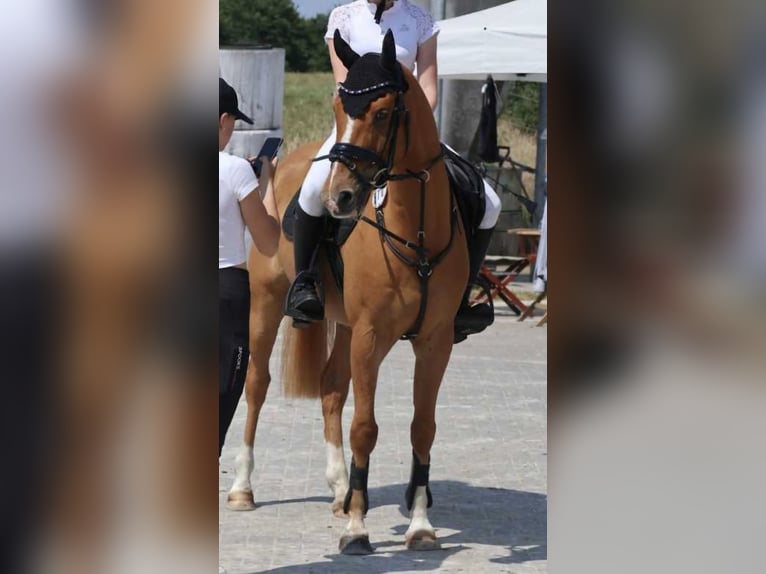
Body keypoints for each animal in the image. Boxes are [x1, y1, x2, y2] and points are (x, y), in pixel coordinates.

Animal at [225, 30, 469, 554]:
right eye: (340, 108)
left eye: (382, 112)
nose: (338, 198)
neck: (415, 232)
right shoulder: (371, 336)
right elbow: (365, 428)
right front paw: (358, 530)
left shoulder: (434, 340)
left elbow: (422, 426)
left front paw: (420, 526)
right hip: (267, 306)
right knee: (256, 386)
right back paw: (243, 487)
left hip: (344, 325)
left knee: (331, 389)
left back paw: (340, 489)